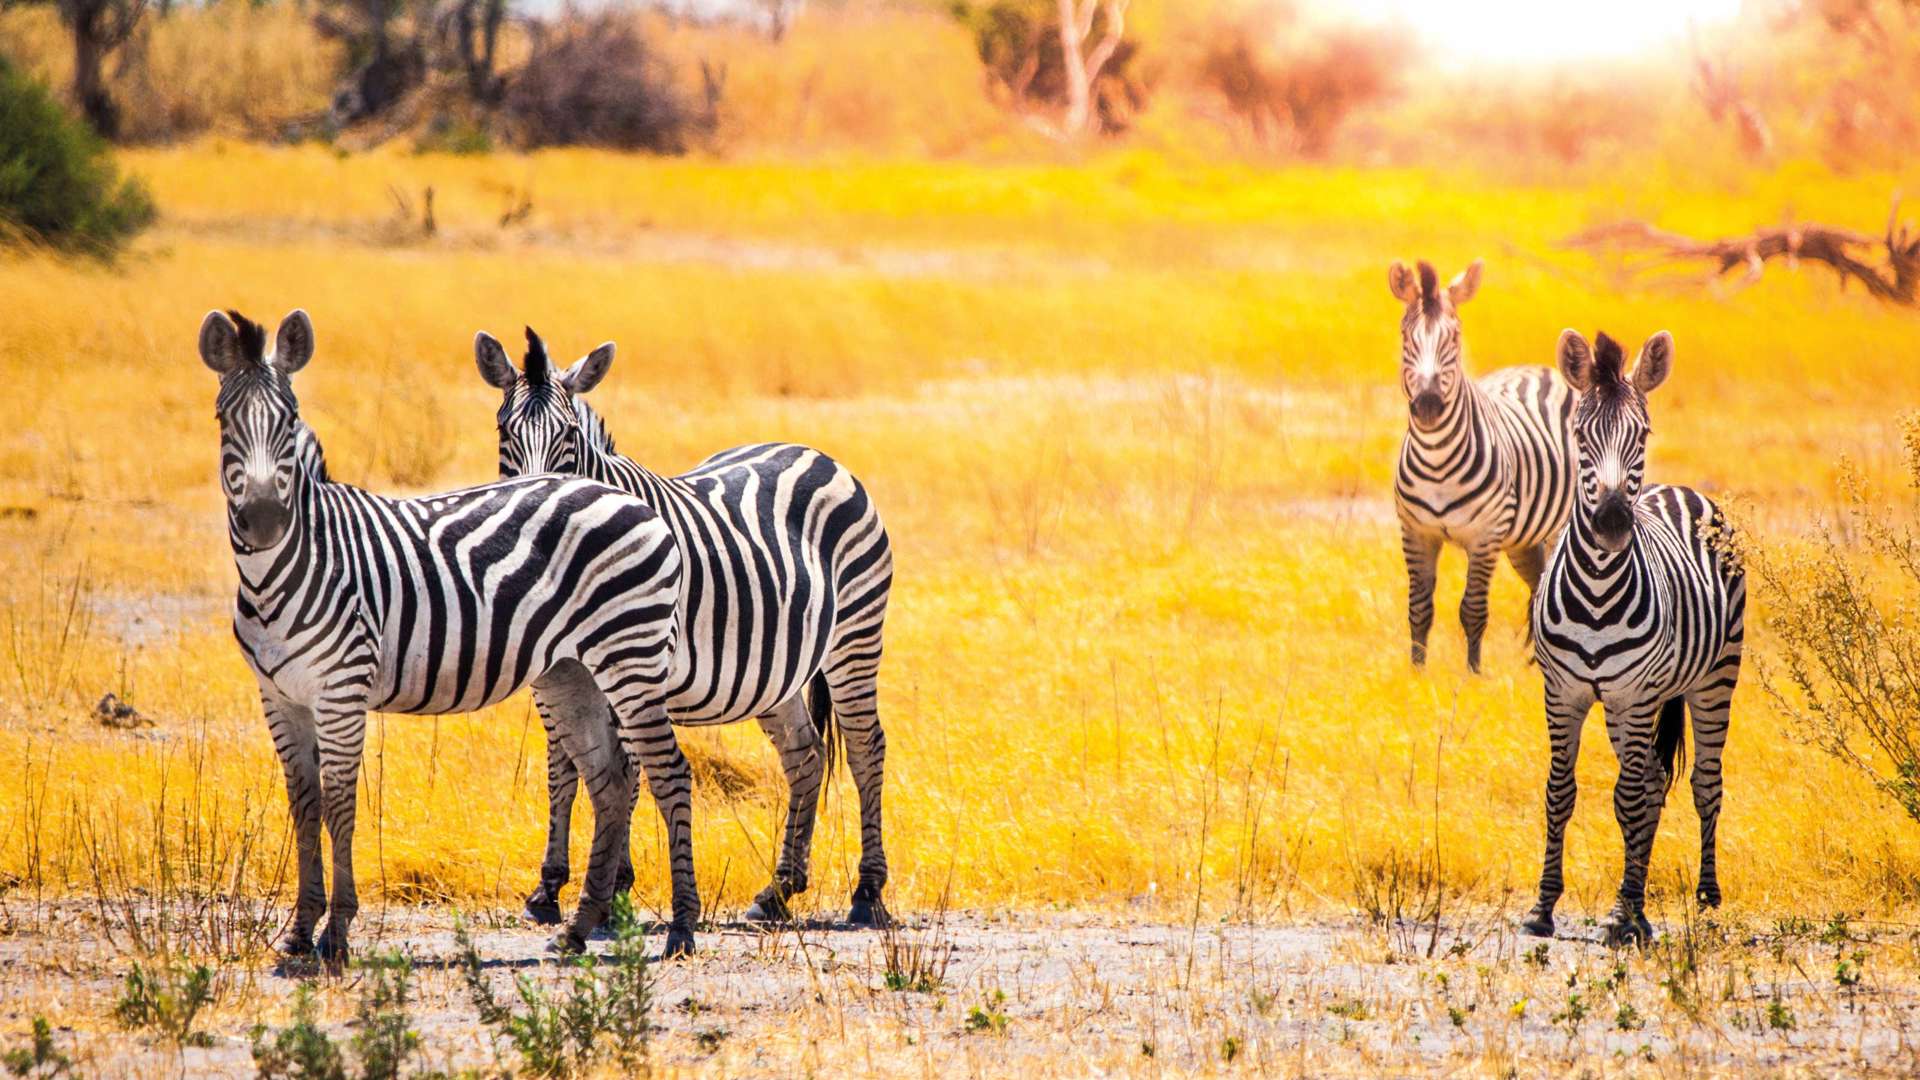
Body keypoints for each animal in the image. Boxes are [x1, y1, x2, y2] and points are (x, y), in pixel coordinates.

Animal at [200, 307, 698, 953]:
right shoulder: (280, 697)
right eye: (223, 421)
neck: (288, 568)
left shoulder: (341, 691)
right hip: (574, 673)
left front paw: (335, 931)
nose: (263, 521)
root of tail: (633, 501)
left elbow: (339, 804)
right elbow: (304, 806)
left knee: (668, 771)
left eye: (288, 421)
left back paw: (681, 928)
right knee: (610, 780)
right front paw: (300, 930)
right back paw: (578, 928)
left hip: (629, 658)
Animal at [480, 322, 898, 922]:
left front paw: (614, 885)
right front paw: (550, 886)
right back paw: (779, 890)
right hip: (775, 671)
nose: (534, 504)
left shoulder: (630, 661)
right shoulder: (556, 672)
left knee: (866, 747)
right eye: (503, 431)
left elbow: (623, 770)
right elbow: (565, 768)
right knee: (806, 755)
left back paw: (867, 892)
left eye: (569, 437)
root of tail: (812, 452)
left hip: (855, 638)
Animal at [1390, 257, 1582, 668]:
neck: (1437, 459)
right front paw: (1416, 672)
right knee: (1537, 582)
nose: (1427, 406)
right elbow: (1419, 609)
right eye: (1406, 336)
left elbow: (1473, 610)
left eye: (1454, 338)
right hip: (1522, 539)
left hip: (1557, 526)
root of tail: (1538, 369)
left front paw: (1472, 674)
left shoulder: (1485, 536)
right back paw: (1534, 658)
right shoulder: (1416, 532)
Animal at [1520, 328, 1751, 941]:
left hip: (1714, 679)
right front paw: (1542, 907)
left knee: (1702, 783)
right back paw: (1639, 908)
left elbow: (1627, 800)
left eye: (1641, 434)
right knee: (1650, 782)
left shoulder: (1634, 694)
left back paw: (1699, 898)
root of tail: (1678, 489)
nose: (1612, 525)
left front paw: (1623, 915)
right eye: (1579, 434)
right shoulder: (1564, 693)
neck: (1599, 589)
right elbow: (1560, 792)